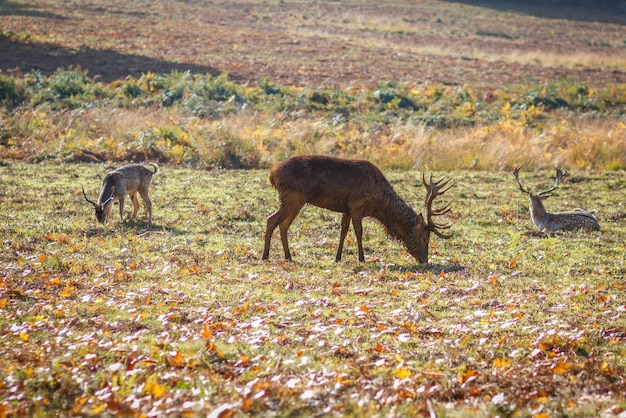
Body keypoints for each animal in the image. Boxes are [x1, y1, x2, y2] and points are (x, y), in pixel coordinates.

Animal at [260, 155, 454, 262]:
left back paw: (288, 256)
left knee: (283, 225)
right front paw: (362, 258)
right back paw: (265, 255)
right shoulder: (356, 204)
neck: (378, 205)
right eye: (424, 238)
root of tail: (272, 173)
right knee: (271, 219)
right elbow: (359, 232)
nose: (425, 260)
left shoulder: (346, 209)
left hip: (294, 201)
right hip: (293, 197)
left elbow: (343, 231)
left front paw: (337, 257)